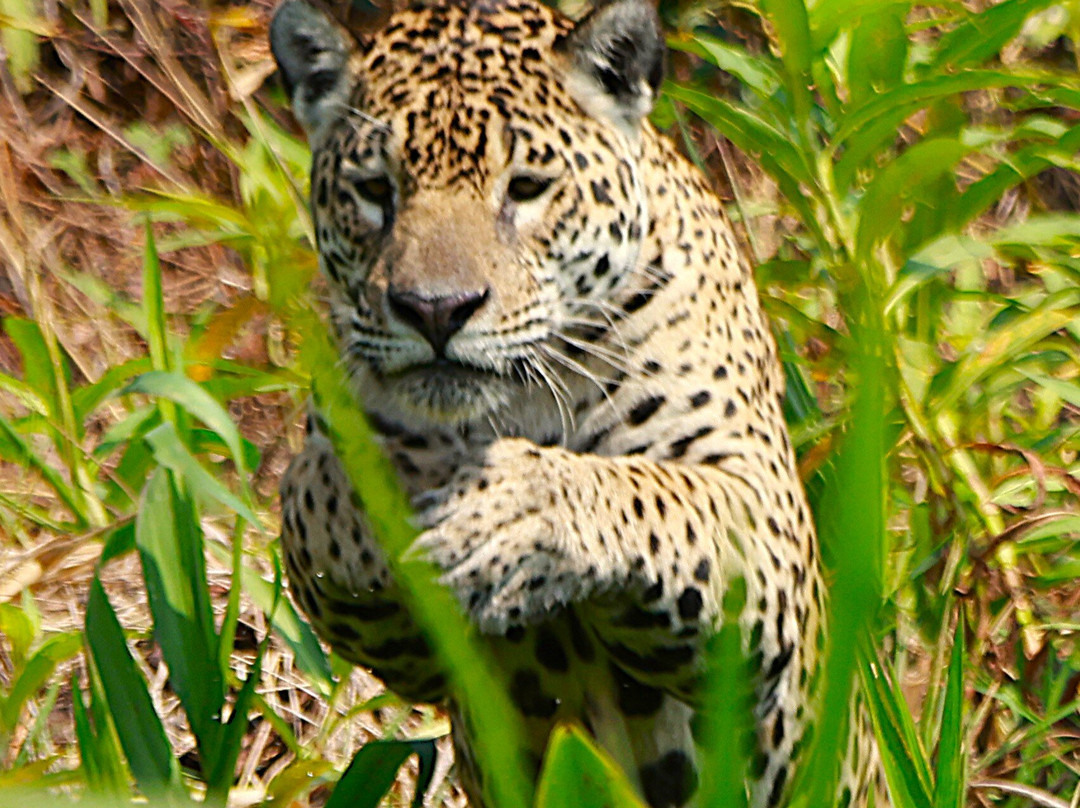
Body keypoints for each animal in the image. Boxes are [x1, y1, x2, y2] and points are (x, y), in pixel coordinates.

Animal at [269, 1, 879, 806]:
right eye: (374, 190)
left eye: (527, 188)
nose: (435, 310)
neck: (513, 407)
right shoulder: (411, 656)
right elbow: (311, 498)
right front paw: (386, 498)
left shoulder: (763, 522)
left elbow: (651, 494)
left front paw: (513, 516)